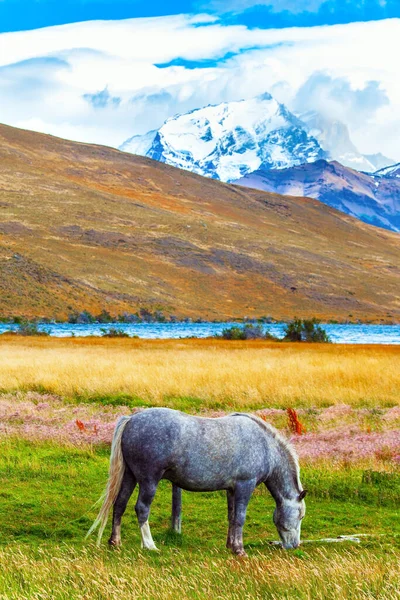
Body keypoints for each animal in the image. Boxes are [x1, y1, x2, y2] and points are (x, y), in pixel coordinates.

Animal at [86, 406, 306, 556]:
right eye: (301, 515)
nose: (294, 545)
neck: (265, 445)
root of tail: (131, 419)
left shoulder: (232, 490)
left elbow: (232, 517)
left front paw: (231, 545)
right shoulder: (245, 486)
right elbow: (240, 518)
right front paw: (239, 550)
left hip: (130, 477)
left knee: (119, 505)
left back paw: (115, 542)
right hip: (149, 481)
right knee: (141, 508)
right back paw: (149, 545)